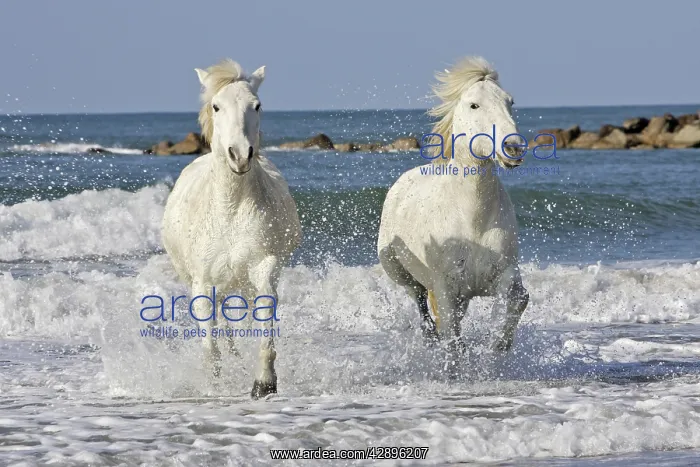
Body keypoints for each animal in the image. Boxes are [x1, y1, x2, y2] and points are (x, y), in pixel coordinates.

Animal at [162, 59, 302, 398]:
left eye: (257, 105)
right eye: (216, 106)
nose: (239, 155)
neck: (230, 211)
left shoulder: (264, 267)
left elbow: (264, 318)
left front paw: (264, 382)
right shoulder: (203, 283)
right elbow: (209, 341)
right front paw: (214, 383)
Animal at [377, 56, 529, 374]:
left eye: (510, 102)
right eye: (474, 105)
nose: (513, 148)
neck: (473, 220)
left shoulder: (502, 275)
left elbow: (519, 299)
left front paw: (497, 348)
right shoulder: (446, 290)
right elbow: (452, 337)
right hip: (401, 273)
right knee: (421, 307)